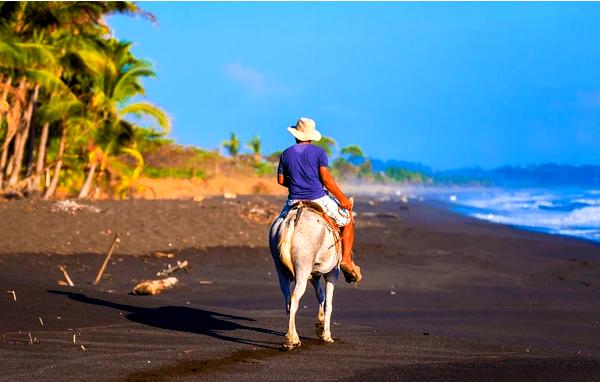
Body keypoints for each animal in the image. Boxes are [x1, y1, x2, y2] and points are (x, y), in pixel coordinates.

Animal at [268, 201, 342, 350]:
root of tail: (291, 219)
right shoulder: (332, 273)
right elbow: (329, 304)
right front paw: (326, 335)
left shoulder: (314, 276)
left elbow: (321, 295)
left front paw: (320, 325)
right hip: (302, 271)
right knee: (295, 298)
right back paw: (292, 340)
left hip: (281, 272)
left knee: (288, 300)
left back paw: (292, 337)